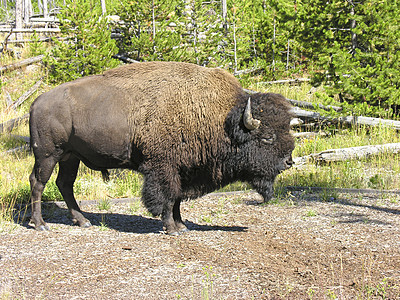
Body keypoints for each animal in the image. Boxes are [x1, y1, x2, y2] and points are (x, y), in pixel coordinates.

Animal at [29, 61, 296, 234]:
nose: (289, 161)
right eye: (267, 137)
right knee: (38, 182)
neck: (221, 118)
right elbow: (166, 197)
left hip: (70, 157)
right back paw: (40, 224)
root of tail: (37, 102)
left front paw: (182, 226)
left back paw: (82, 221)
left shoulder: (183, 169)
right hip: (48, 154)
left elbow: (177, 198)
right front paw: (171, 228)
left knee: (64, 184)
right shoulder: (163, 167)